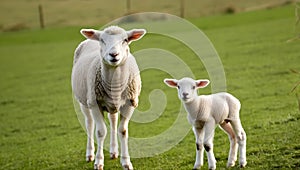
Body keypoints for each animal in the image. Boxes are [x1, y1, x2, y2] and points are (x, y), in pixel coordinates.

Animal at [70, 25, 145, 170]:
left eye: (125, 40)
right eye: (102, 40)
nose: (114, 55)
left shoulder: (130, 103)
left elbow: (123, 131)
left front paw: (126, 162)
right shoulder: (95, 103)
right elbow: (100, 132)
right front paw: (98, 162)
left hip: (112, 105)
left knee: (113, 121)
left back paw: (114, 151)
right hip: (84, 101)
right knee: (89, 124)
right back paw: (90, 154)